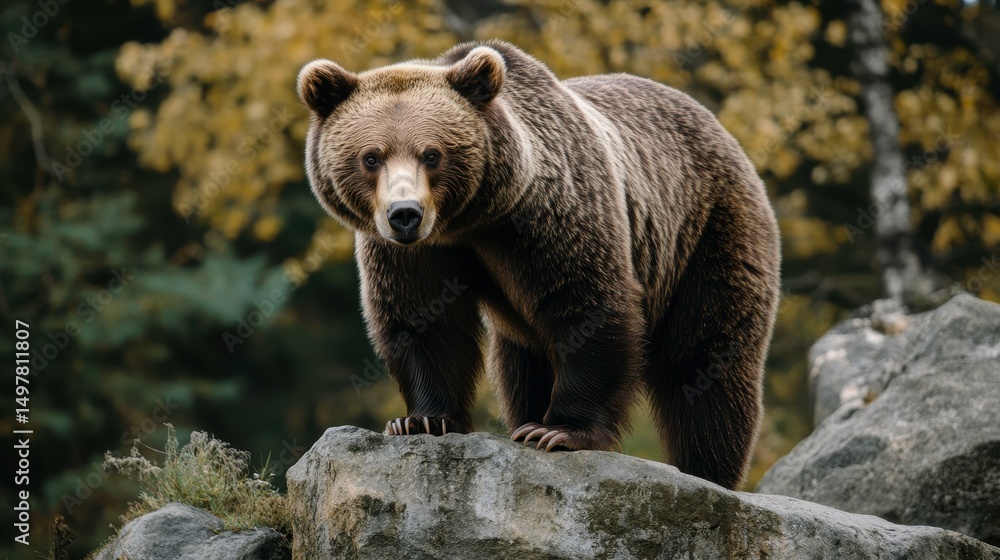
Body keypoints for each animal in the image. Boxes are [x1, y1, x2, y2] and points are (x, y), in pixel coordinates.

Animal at [297, 40, 780, 489]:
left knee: (705, 362)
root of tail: (721, 129)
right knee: (521, 366)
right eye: (371, 156)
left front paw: (558, 431)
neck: (470, 222)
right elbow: (423, 321)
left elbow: (588, 306)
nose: (405, 214)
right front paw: (421, 420)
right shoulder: (413, 252)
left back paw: (707, 471)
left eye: (431, 154)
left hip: (707, 235)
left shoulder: (549, 217)